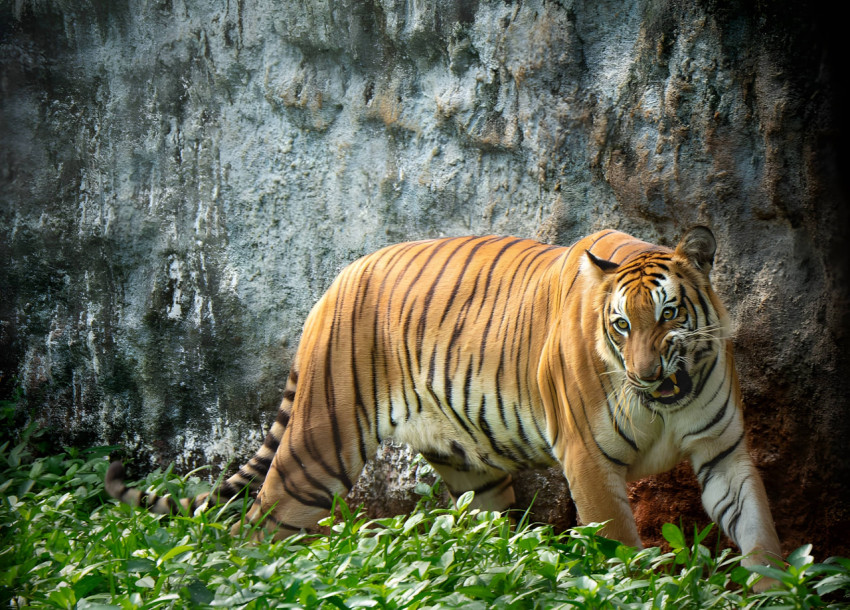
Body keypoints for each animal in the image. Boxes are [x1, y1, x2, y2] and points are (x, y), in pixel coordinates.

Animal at [107, 226, 782, 576]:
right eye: (620, 325)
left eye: (668, 315)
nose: (645, 373)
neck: (665, 404)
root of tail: (336, 280)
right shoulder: (588, 460)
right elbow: (618, 544)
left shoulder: (724, 452)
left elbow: (758, 528)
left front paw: (778, 586)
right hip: (320, 446)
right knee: (258, 525)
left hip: (473, 471)